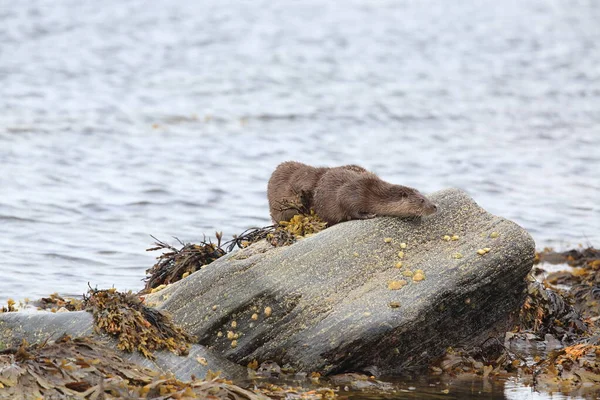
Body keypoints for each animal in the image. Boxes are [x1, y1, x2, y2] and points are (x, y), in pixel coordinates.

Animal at [268, 162, 436, 225]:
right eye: (421, 200)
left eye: (425, 196)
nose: (435, 206)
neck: (375, 194)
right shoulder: (353, 192)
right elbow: (348, 205)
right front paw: (367, 215)